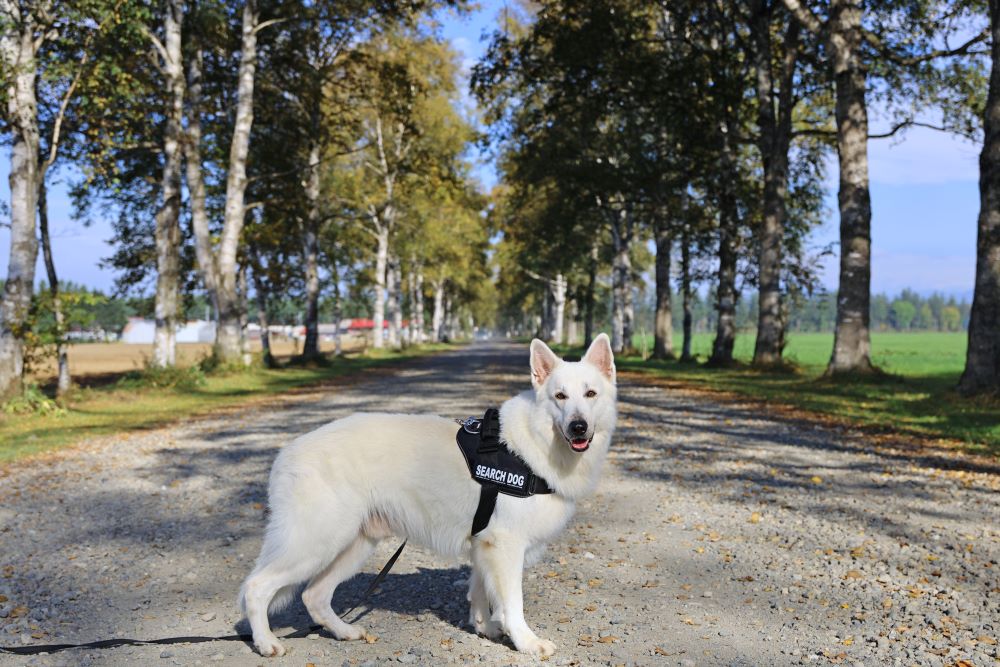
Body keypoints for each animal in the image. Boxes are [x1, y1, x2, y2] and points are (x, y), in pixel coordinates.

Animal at [242, 336, 616, 660]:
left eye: (591, 394)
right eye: (560, 396)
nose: (579, 427)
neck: (534, 446)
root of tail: (287, 452)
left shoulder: (484, 546)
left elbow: (479, 592)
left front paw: (484, 628)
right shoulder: (505, 546)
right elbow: (512, 604)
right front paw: (525, 642)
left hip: (353, 545)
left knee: (313, 595)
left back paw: (343, 631)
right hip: (315, 543)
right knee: (257, 586)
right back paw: (266, 643)